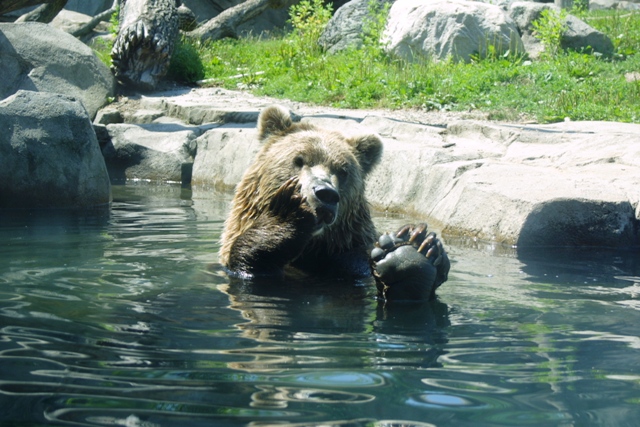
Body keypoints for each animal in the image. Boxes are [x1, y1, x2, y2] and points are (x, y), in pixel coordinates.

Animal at [218, 105, 448, 302]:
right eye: (299, 160)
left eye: (343, 171)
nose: (326, 194)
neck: (311, 249)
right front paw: (286, 214)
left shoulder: (347, 256)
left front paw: (417, 244)